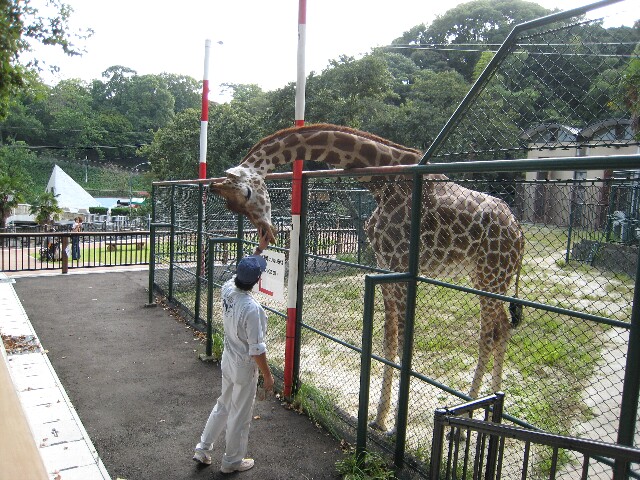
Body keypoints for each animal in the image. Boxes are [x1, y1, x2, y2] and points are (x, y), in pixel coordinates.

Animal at [210, 123, 524, 432]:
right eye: (232, 207)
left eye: (248, 194)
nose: (266, 234)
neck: (381, 180)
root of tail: (518, 231)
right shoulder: (386, 264)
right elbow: (389, 341)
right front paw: (380, 419)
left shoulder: (402, 263)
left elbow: (404, 345)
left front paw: (395, 427)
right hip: (485, 277)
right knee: (502, 326)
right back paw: (490, 406)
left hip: (492, 274)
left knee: (491, 332)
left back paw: (473, 409)